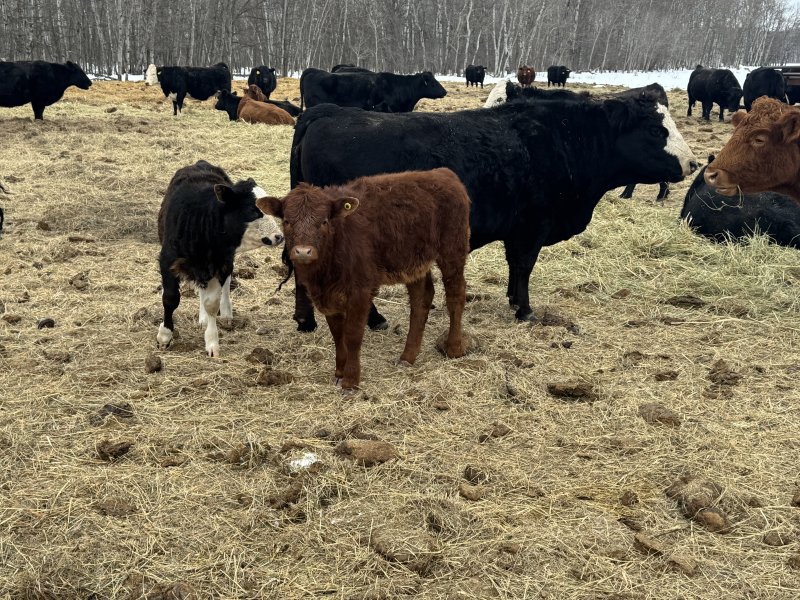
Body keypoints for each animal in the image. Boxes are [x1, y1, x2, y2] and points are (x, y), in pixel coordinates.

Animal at [156, 161, 284, 358]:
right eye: (254, 211)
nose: (279, 236)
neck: (201, 222)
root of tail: (200, 163)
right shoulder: (168, 260)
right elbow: (170, 298)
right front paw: (164, 335)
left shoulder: (220, 263)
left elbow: (212, 304)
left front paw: (212, 342)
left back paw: (225, 314)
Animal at [256, 168, 470, 391]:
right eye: (287, 221)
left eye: (324, 221)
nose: (303, 251)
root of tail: (443, 173)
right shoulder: (328, 297)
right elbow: (337, 334)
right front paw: (339, 372)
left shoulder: (361, 291)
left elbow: (352, 334)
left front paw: (351, 380)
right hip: (414, 263)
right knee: (421, 299)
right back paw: (407, 356)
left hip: (452, 250)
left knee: (456, 295)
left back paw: (454, 348)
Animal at [287, 93, 698, 332]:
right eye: (655, 129)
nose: (693, 163)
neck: (566, 139)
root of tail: (326, 112)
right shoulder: (533, 226)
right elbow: (525, 265)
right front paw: (525, 309)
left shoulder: (519, 230)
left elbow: (516, 267)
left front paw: (515, 300)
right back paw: (369, 320)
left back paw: (308, 320)